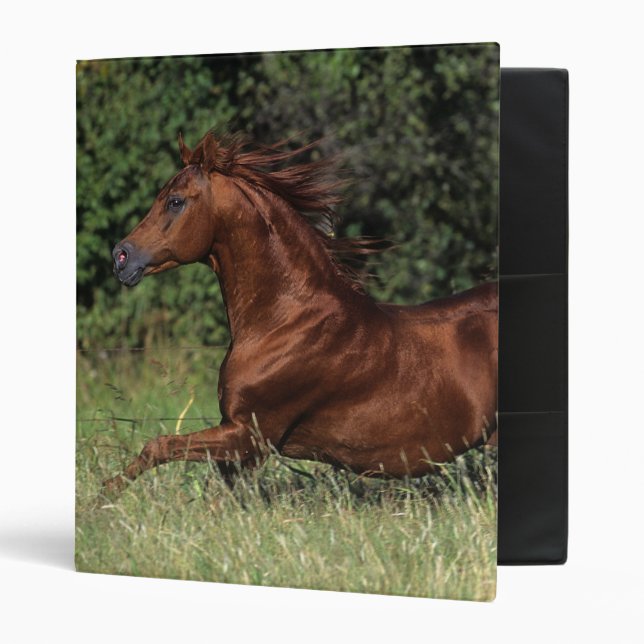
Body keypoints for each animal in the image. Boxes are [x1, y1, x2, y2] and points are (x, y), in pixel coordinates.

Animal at [103, 131, 498, 496]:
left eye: (175, 201)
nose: (121, 257)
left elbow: (159, 446)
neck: (287, 321)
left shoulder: (250, 435)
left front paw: (103, 497)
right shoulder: (240, 441)